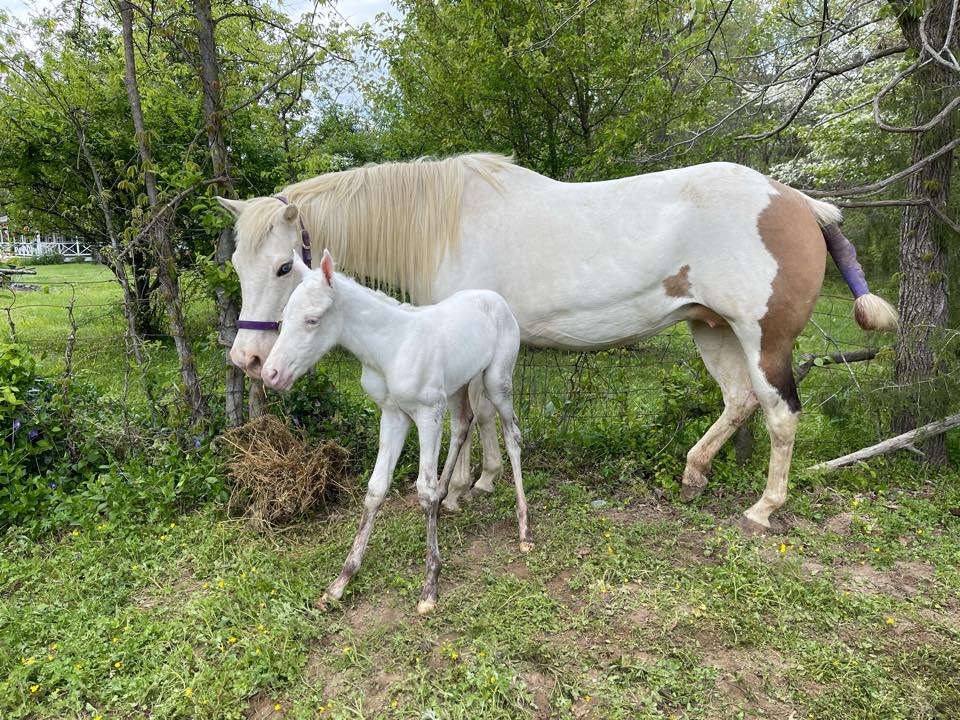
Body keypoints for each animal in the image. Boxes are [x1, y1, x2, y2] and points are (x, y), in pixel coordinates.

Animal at [221, 153, 896, 528]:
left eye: (283, 268)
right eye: (236, 263)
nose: (248, 359)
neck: (442, 225)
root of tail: (800, 203)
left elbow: (473, 415)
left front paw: (463, 488)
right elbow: (487, 415)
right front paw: (485, 480)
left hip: (764, 338)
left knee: (781, 414)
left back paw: (764, 508)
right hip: (712, 329)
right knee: (739, 401)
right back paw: (694, 473)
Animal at [262, 252, 528, 612]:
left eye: (312, 320)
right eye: (283, 318)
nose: (270, 374)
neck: (391, 348)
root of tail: (495, 298)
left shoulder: (428, 411)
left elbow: (423, 490)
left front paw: (430, 585)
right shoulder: (392, 415)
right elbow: (376, 488)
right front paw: (340, 583)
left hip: (497, 379)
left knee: (511, 435)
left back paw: (524, 529)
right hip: (458, 384)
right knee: (464, 423)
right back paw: (449, 495)